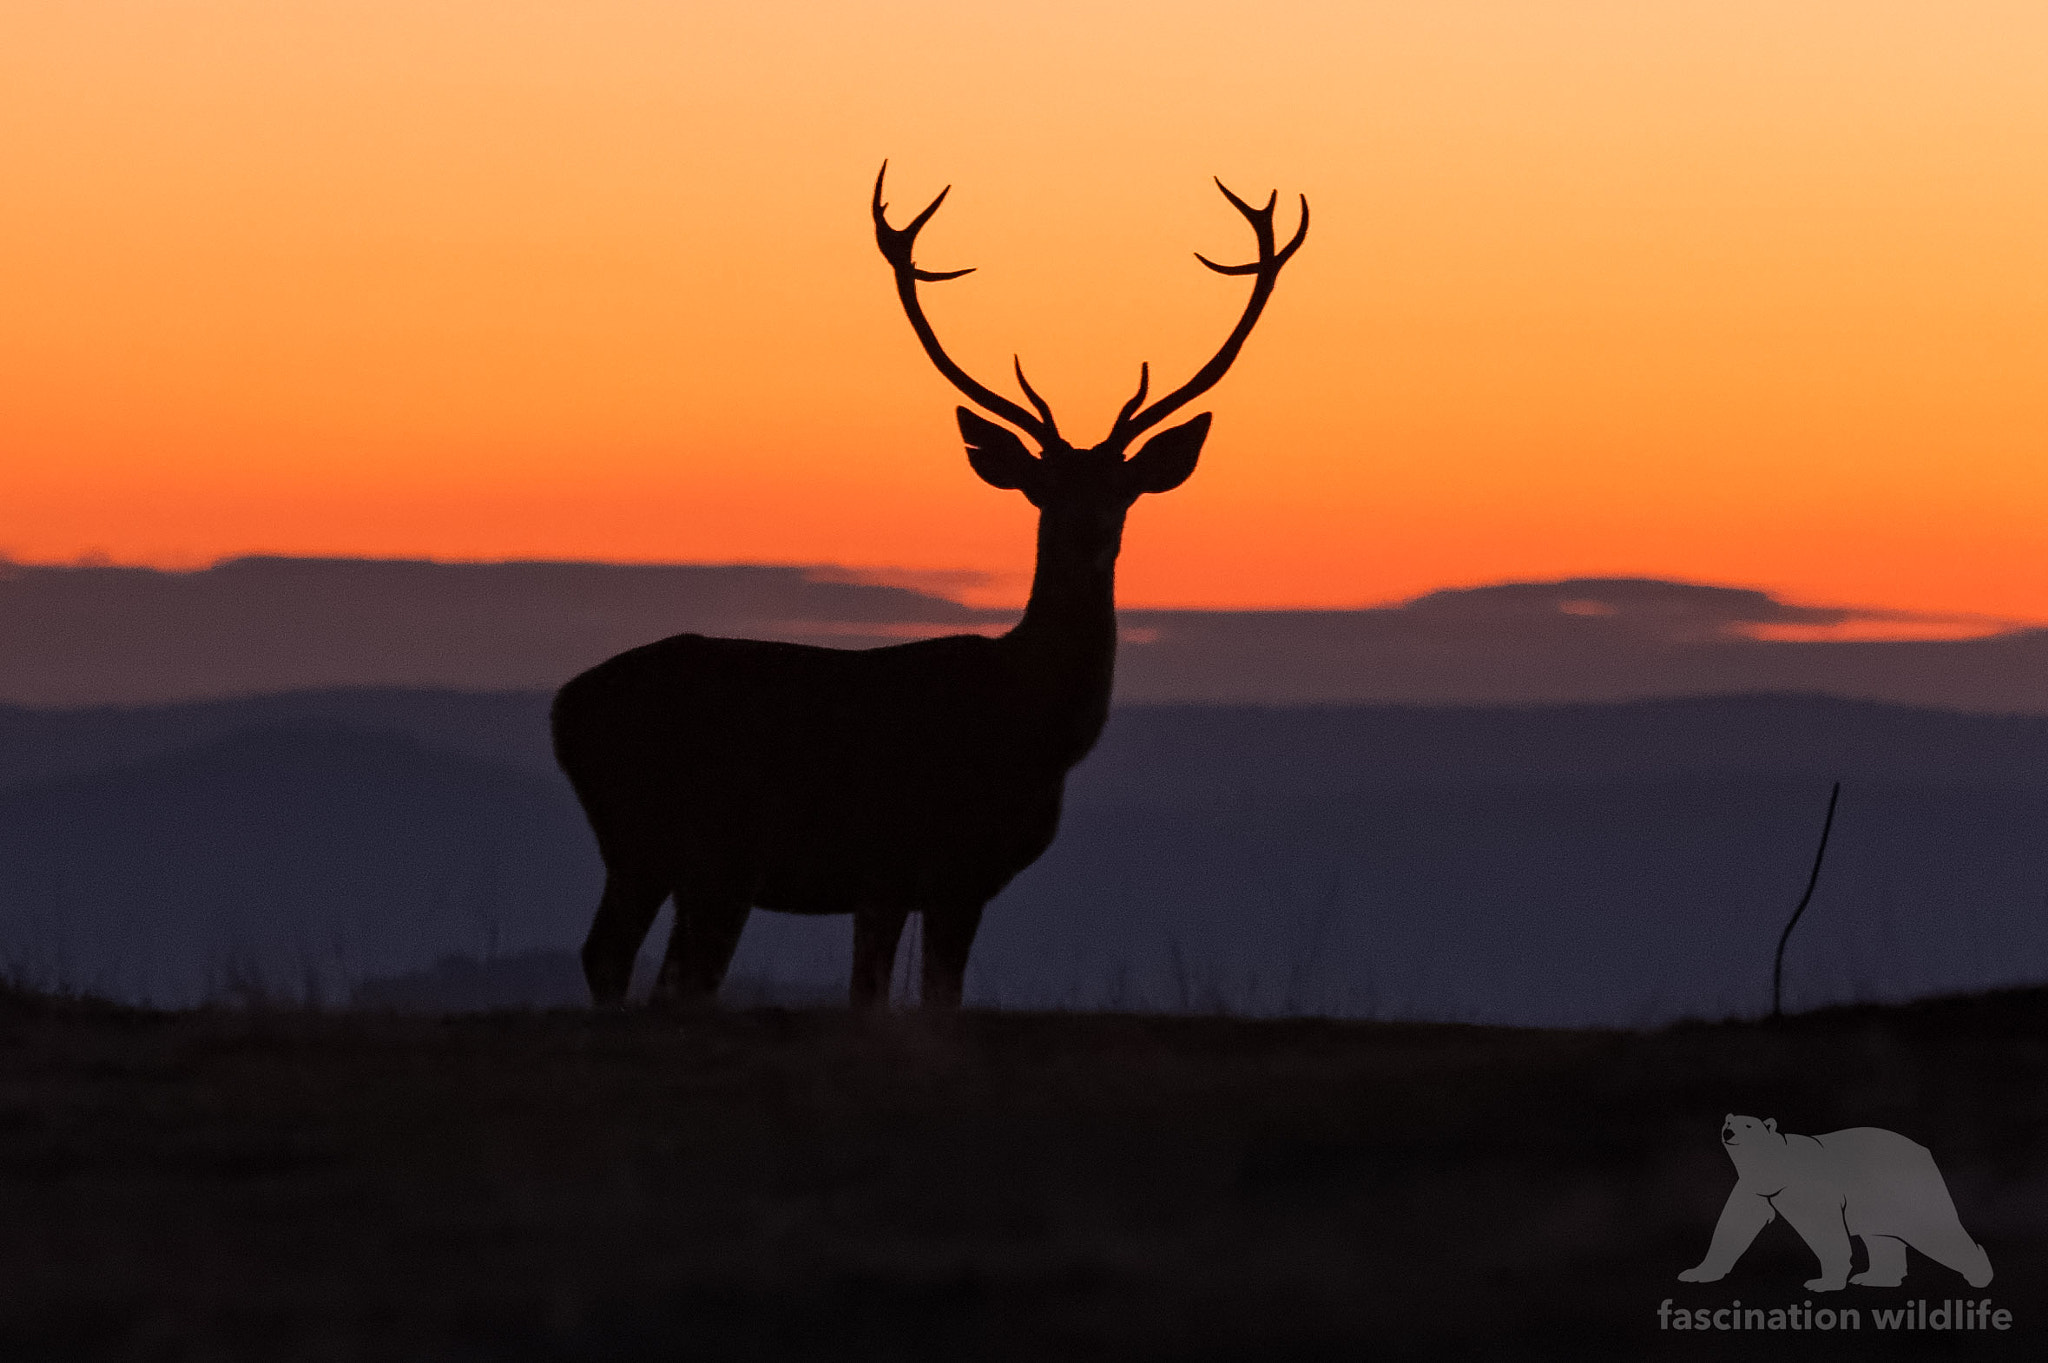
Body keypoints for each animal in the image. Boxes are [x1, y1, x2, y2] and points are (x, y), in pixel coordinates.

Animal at [552, 164, 1307, 1010]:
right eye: (1043, 488)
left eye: (1123, 490)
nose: (1087, 536)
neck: (1035, 730)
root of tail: (562, 709)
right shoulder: (897, 859)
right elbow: (879, 996)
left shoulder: (954, 881)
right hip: (662, 838)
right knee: (614, 955)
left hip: (693, 862)